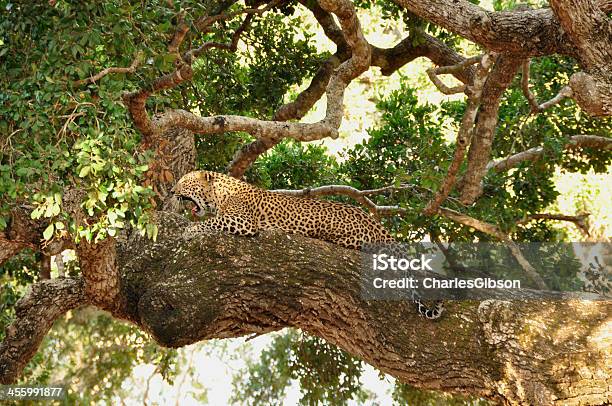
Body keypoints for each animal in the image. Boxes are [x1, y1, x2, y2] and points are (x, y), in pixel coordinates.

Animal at [172, 170, 444, 318]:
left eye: (184, 183)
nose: (172, 192)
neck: (219, 194)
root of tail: (377, 226)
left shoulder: (242, 221)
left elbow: (210, 222)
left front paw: (189, 230)